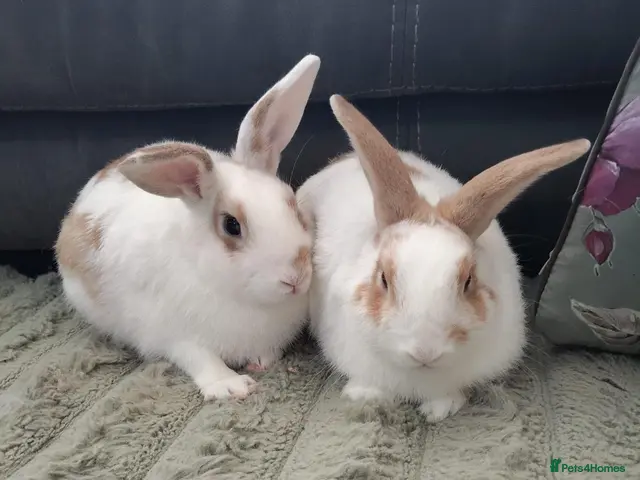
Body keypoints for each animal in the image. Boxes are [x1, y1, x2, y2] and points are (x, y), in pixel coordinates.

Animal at [54, 54, 321, 400]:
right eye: (231, 226)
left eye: (291, 202)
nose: (296, 277)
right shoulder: (174, 336)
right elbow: (199, 358)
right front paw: (231, 385)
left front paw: (261, 361)